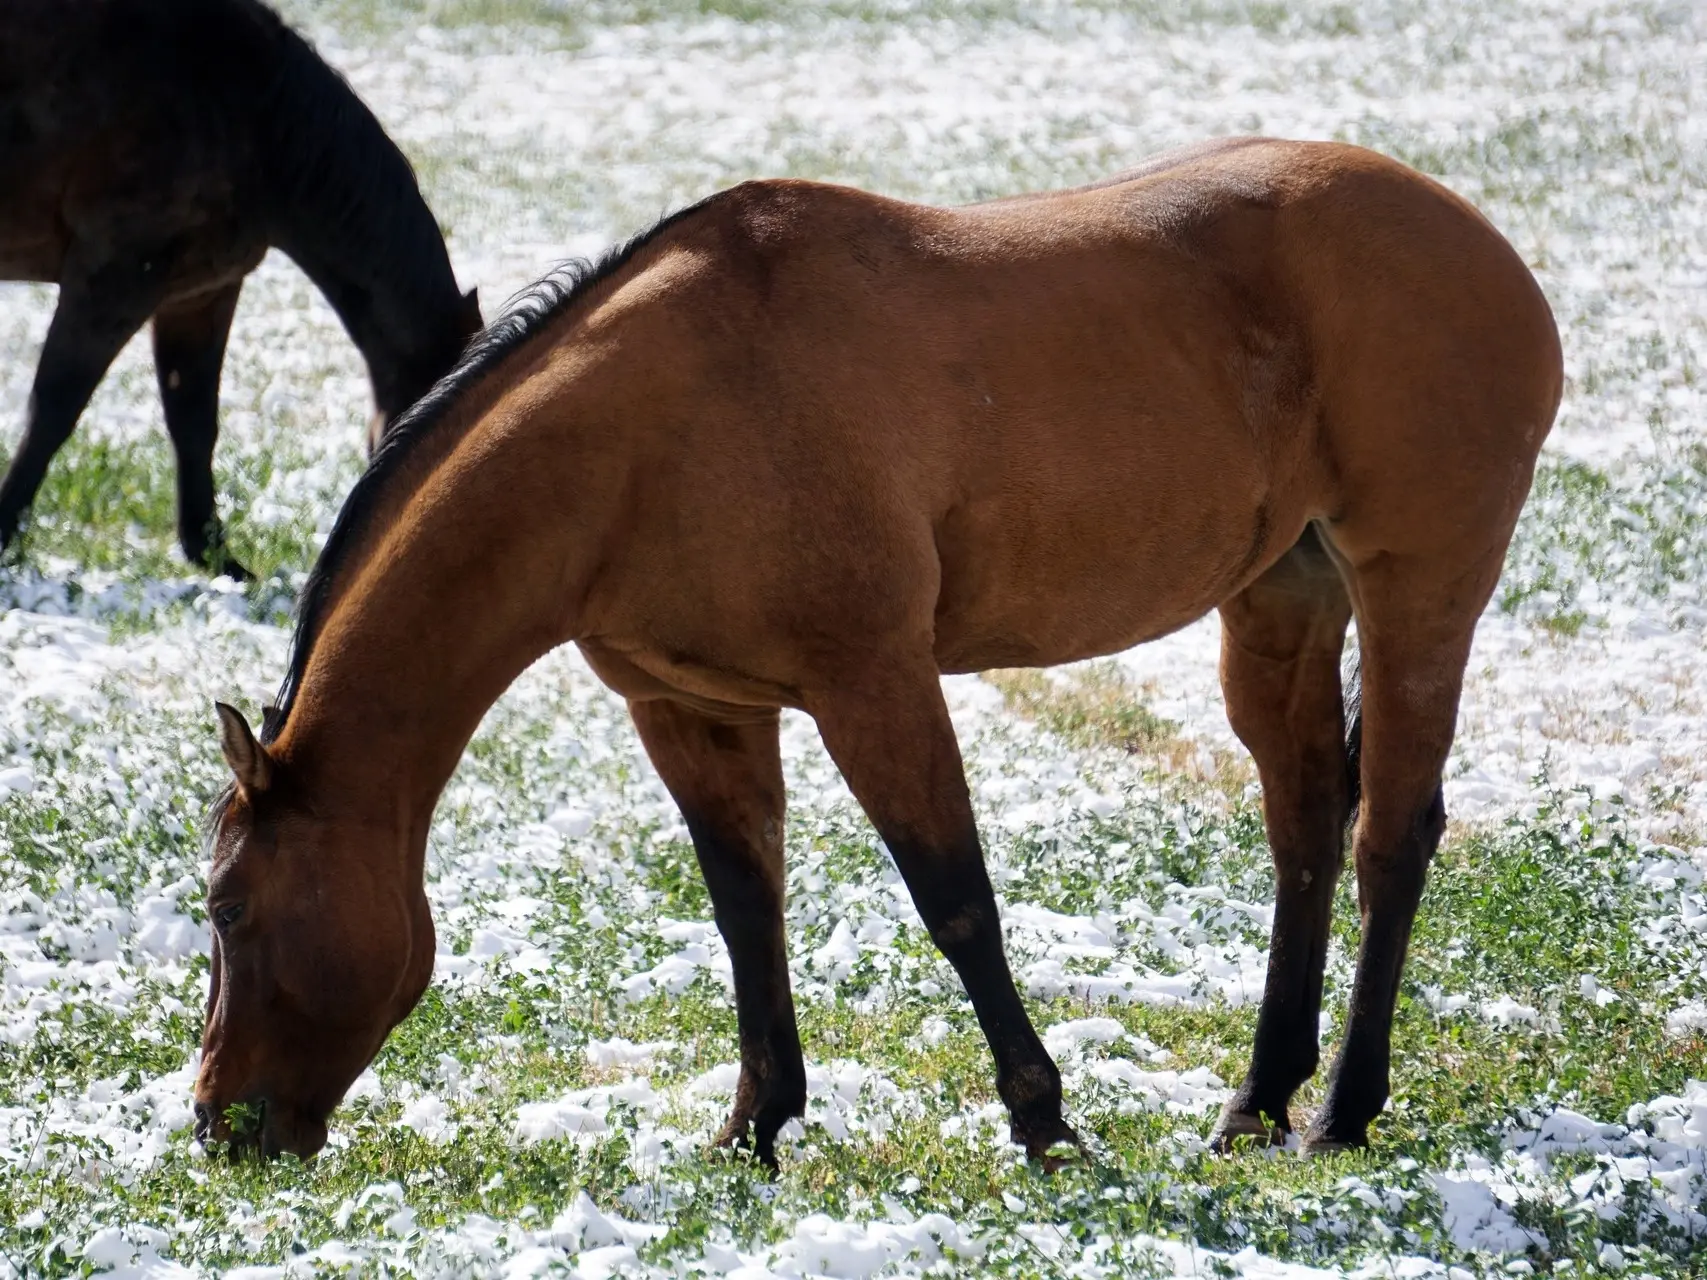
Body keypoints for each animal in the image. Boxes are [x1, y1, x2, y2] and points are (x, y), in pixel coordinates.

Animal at [1, 0, 481, 576]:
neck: (256, 121)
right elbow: (53, 411)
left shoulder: (199, 294)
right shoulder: (113, 277)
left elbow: (193, 420)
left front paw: (214, 557)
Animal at [190, 138, 1563, 1160]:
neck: (647, 430)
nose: (215, 1122)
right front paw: (754, 1125)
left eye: (228, 905)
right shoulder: (691, 707)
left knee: (1391, 834)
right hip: (1280, 599)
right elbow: (745, 907)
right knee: (1305, 825)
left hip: (1421, 585)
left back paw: (1342, 1109)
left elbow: (955, 898)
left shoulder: (875, 682)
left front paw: (1044, 1122)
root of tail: (1486, 248)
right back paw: (1259, 1097)